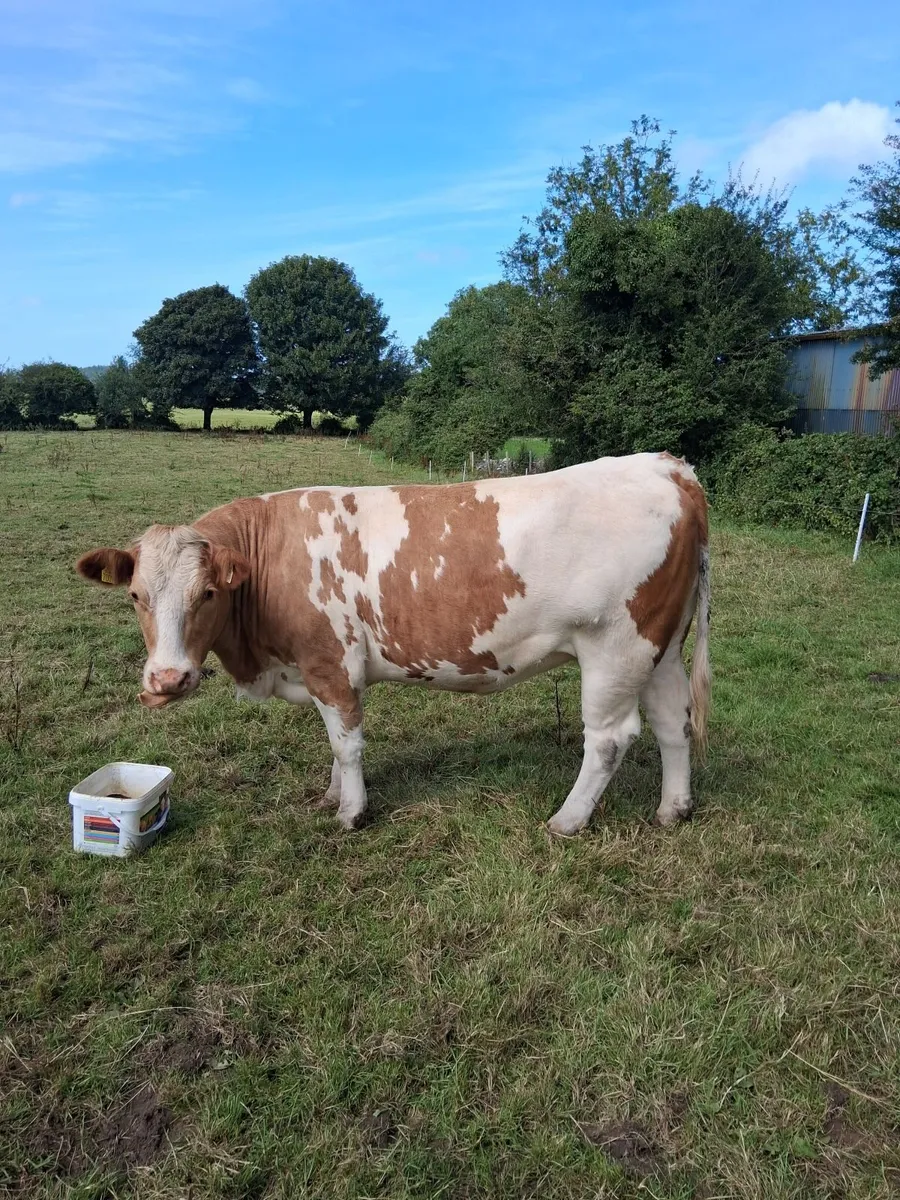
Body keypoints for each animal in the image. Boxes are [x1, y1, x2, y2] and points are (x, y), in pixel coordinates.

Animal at [75, 451, 710, 834]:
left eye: (207, 593)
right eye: (135, 595)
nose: (167, 681)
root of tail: (666, 467)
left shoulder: (331, 664)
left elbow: (348, 744)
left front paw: (351, 813)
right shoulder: (319, 672)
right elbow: (335, 746)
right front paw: (333, 797)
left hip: (615, 647)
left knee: (608, 739)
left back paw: (568, 819)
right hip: (659, 649)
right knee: (672, 722)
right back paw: (673, 808)